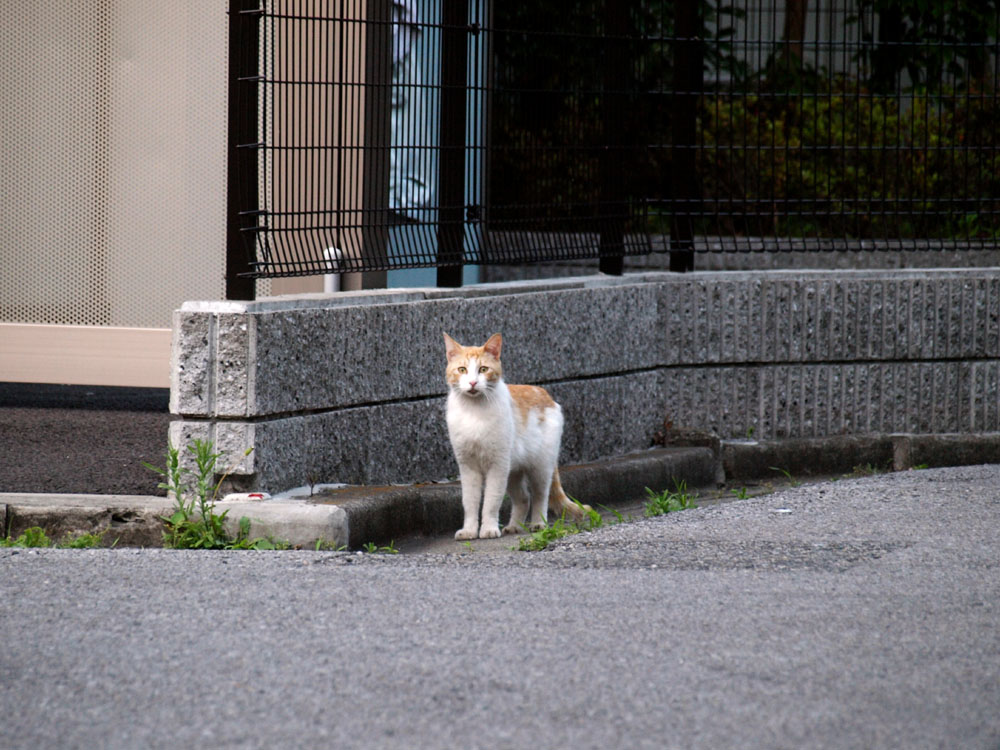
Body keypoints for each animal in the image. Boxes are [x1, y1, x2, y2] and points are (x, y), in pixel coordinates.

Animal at [442, 332, 588, 536]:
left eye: (483, 369)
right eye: (462, 370)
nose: (472, 382)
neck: (474, 411)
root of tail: (548, 396)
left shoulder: (498, 466)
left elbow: (491, 501)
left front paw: (488, 529)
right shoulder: (468, 466)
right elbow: (469, 502)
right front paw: (470, 531)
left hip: (540, 467)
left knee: (540, 496)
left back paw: (538, 523)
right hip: (513, 471)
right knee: (523, 498)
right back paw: (514, 526)